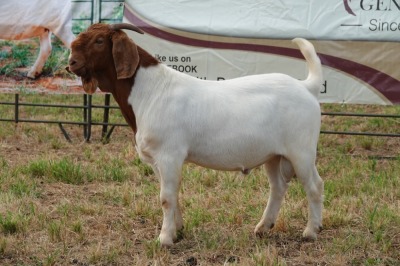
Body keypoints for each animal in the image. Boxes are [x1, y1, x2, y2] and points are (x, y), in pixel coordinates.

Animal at [68, 23, 324, 247]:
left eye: (99, 41)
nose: (71, 62)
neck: (150, 91)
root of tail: (306, 87)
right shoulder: (157, 160)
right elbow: (172, 195)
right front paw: (177, 230)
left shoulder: (169, 154)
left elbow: (166, 197)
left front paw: (164, 239)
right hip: (273, 155)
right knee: (278, 187)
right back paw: (263, 227)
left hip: (301, 151)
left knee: (314, 186)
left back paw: (311, 232)